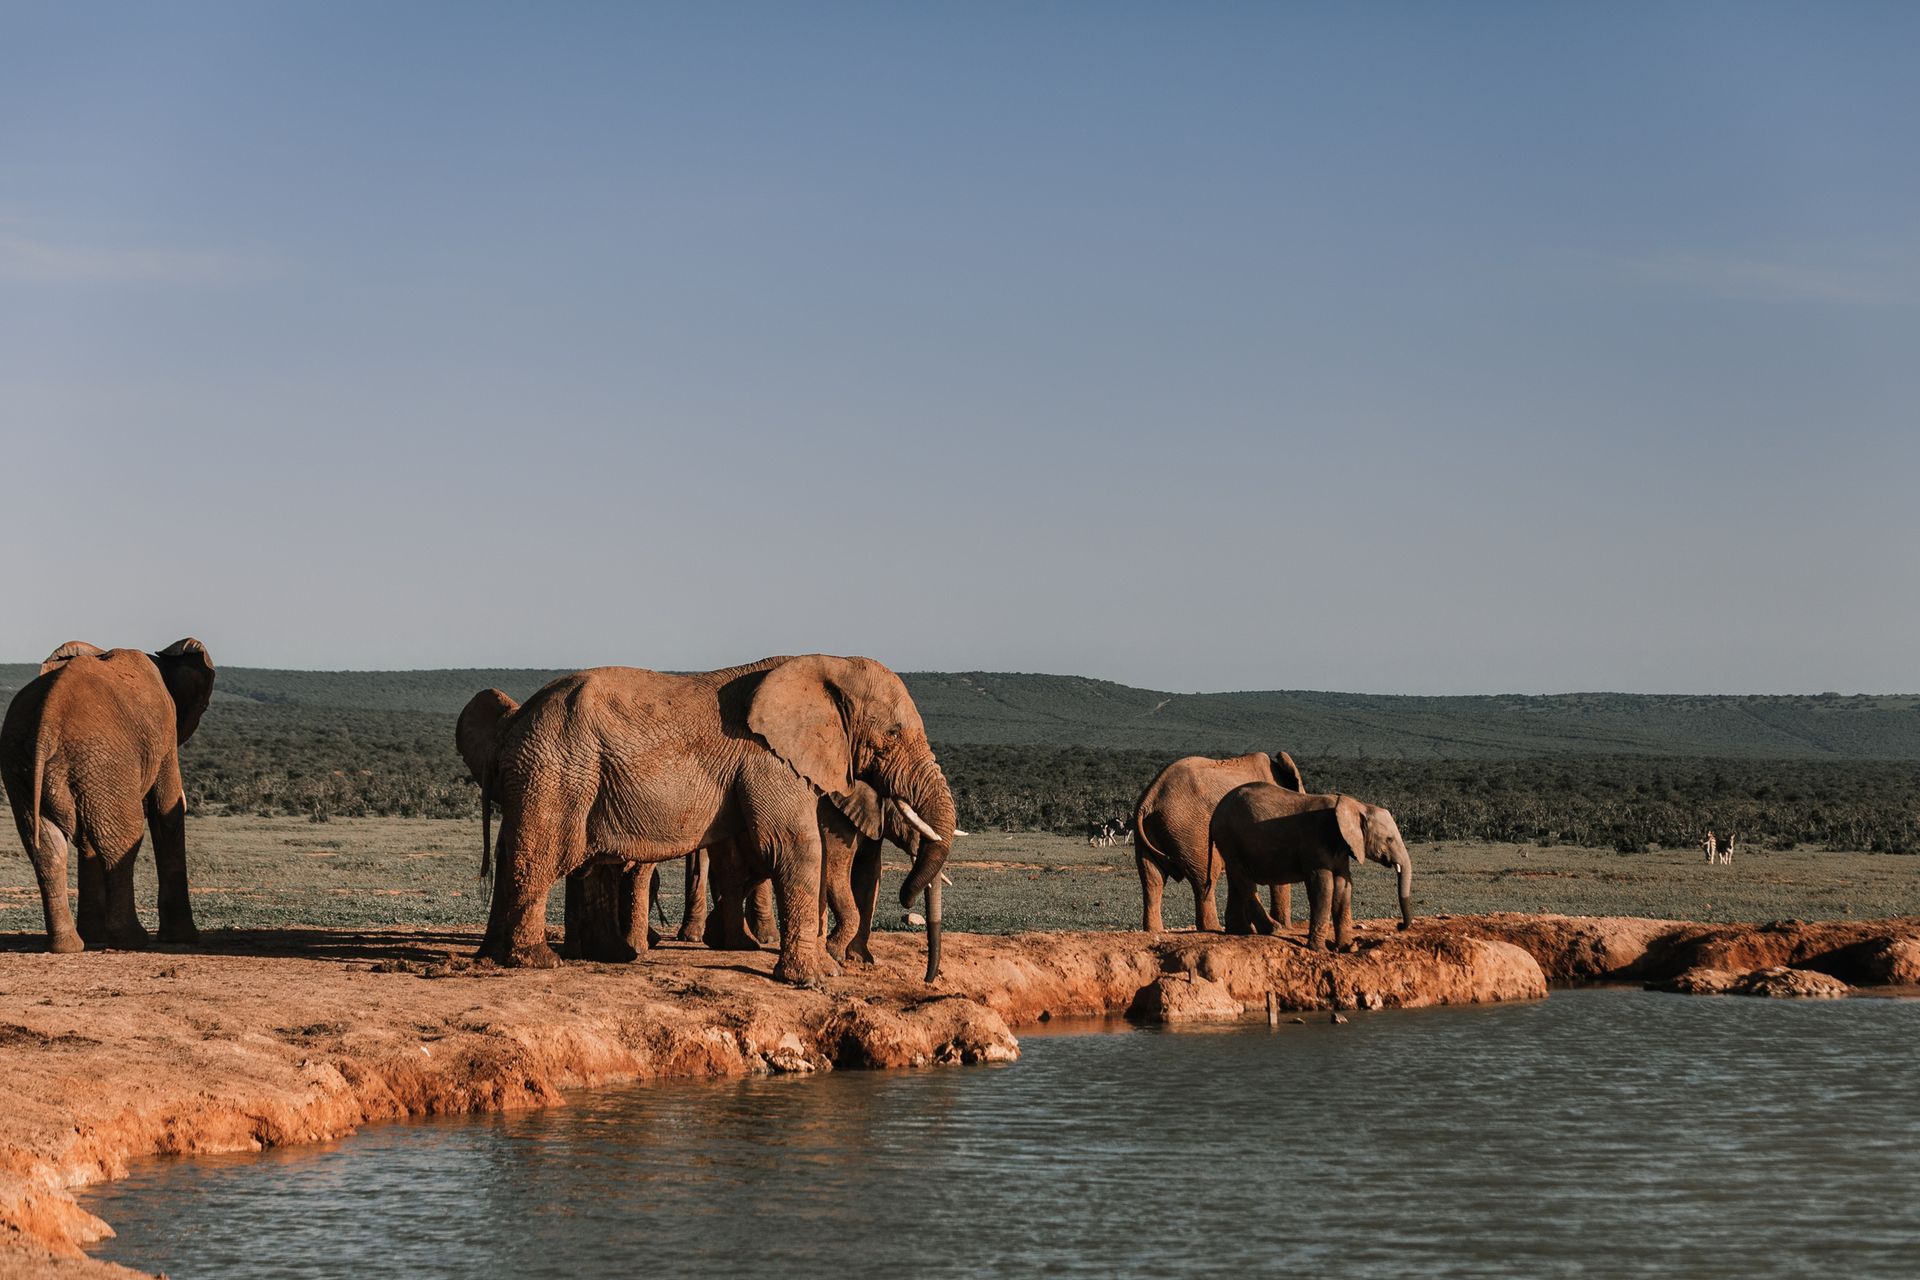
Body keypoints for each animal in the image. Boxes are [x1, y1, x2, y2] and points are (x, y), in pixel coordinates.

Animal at [0, 639, 216, 952]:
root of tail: (48, 722)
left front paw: (94, 936)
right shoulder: (164, 732)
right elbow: (167, 813)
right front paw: (182, 938)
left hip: (29, 764)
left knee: (47, 848)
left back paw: (68, 946)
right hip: (102, 760)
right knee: (122, 840)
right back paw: (132, 940)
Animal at [476, 654, 958, 985]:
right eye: (892, 734)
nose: (930, 979)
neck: (826, 663)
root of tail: (513, 724)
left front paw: (828, 970)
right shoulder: (769, 759)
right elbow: (795, 846)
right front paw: (812, 979)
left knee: (528, 854)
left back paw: (500, 958)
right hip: (557, 768)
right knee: (544, 853)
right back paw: (538, 960)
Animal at [1131, 750, 1307, 933]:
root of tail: (1148, 801)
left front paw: (1241, 930)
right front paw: (1283, 929)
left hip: (1151, 833)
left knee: (1152, 879)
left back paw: (1155, 931)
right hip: (1192, 831)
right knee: (1205, 878)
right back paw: (1213, 928)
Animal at [1208, 781, 1415, 951]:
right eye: (1389, 839)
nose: (1399, 926)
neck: (1356, 805)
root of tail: (1215, 813)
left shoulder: (1342, 847)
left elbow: (1343, 886)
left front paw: (1348, 948)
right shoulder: (1315, 842)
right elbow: (1323, 887)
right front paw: (1320, 950)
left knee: (1237, 879)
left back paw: (1240, 931)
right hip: (1228, 837)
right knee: (1244, 880)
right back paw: (1275, 930)